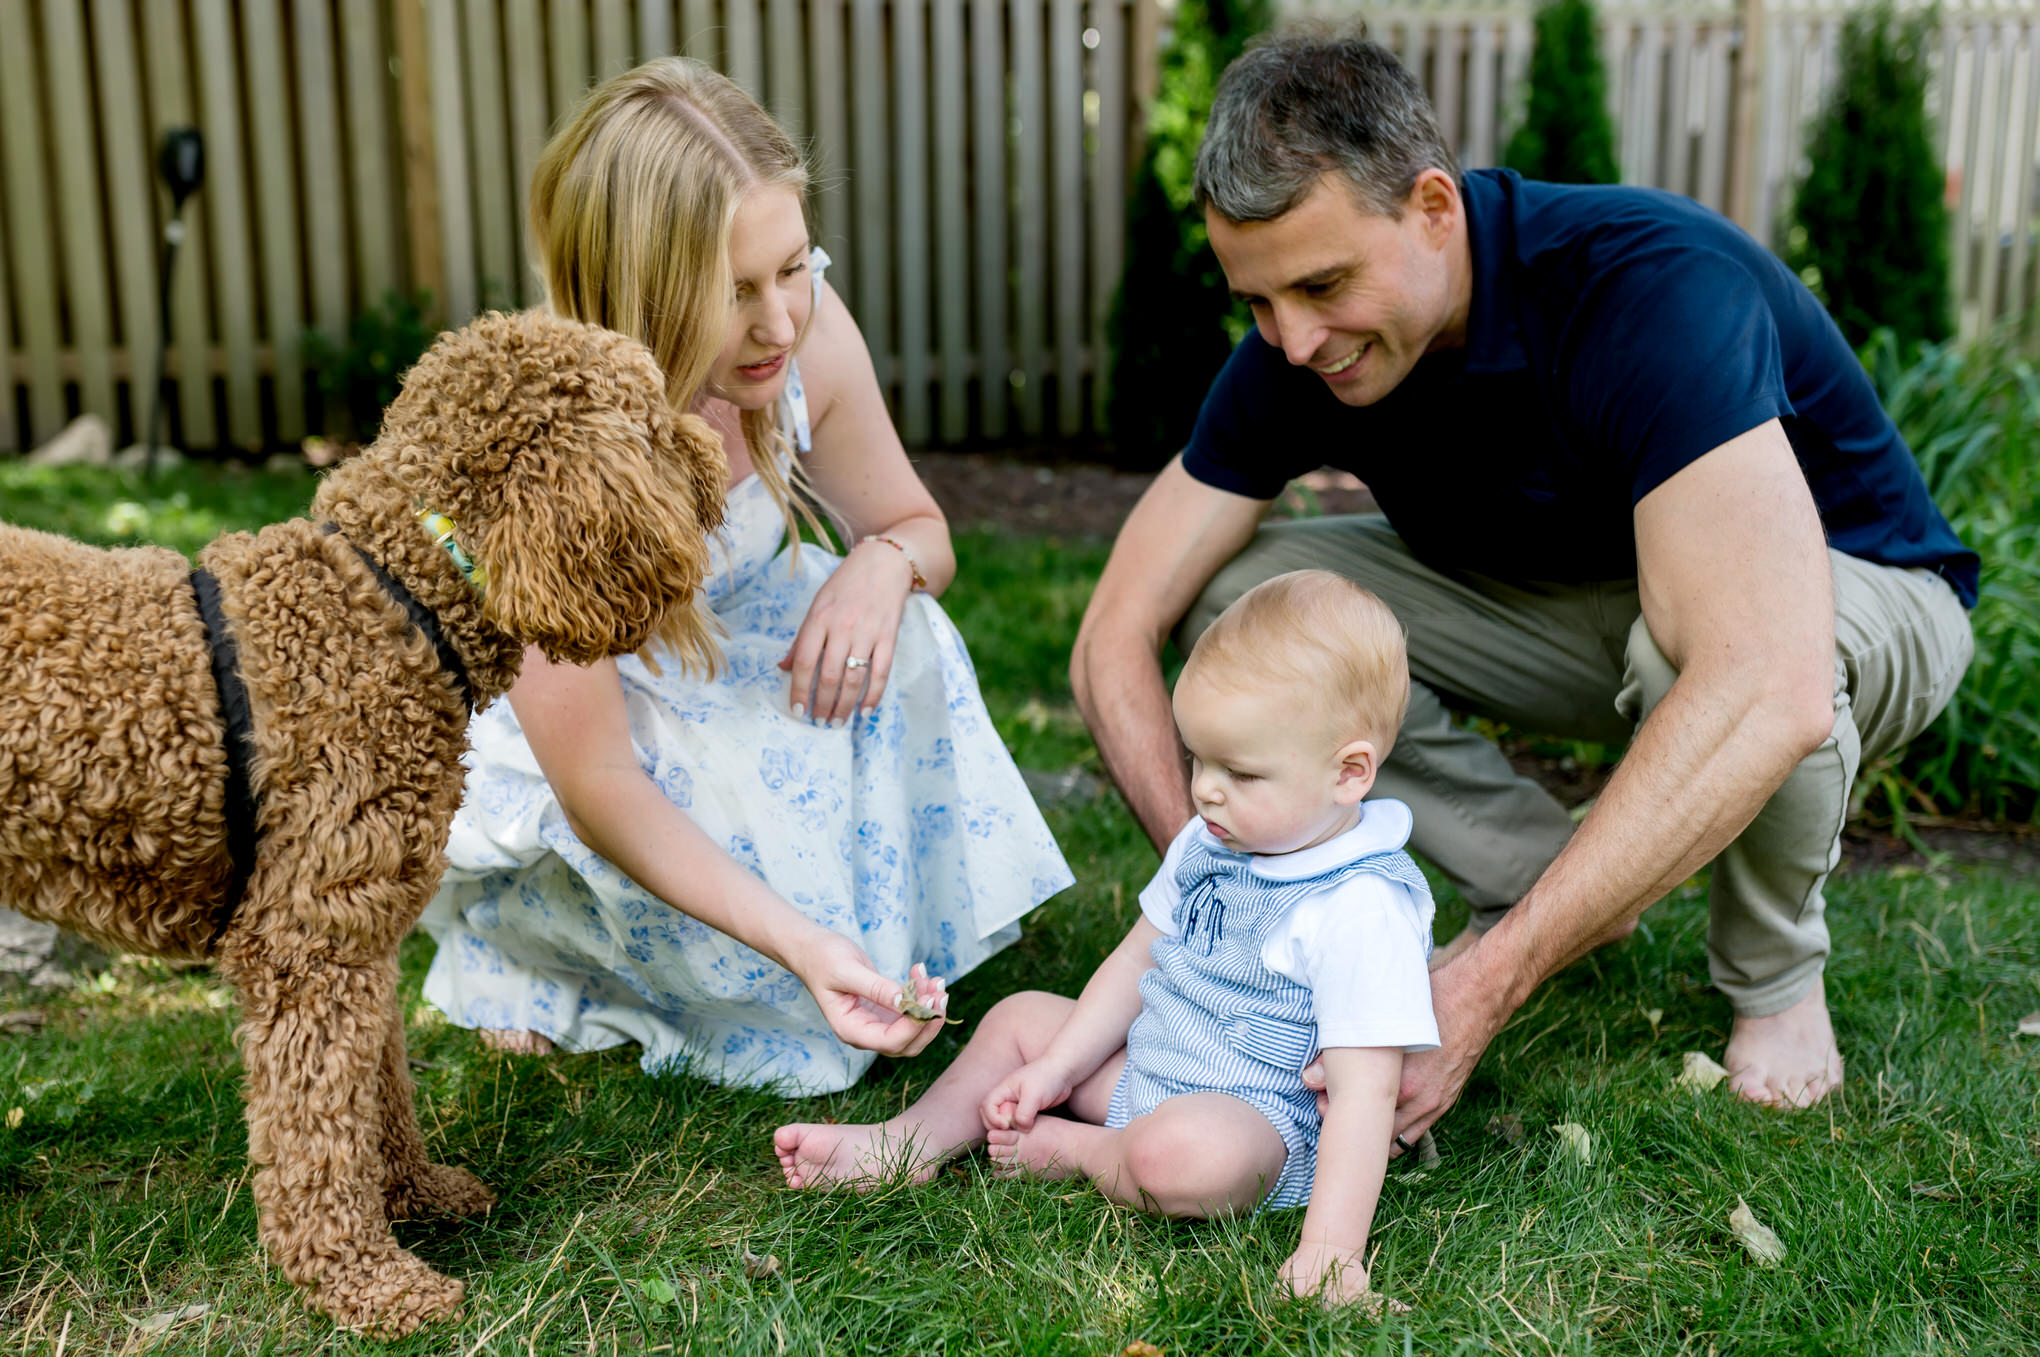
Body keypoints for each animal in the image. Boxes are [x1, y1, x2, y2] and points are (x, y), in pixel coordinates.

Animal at [0, 310, 730, 1330]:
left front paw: (415, 1193)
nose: (715, 459)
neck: (392, 590)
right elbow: (318, 1127)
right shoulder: (308, 943)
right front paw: (363, 1278)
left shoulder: (366, 931)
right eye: (654, 422)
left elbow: (377, 1089)